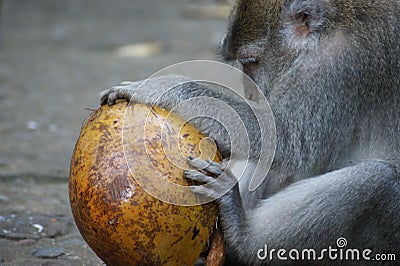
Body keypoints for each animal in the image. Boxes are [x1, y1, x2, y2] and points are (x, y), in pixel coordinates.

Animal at [97, 0, 400, 264]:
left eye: (250, 61)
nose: (250, 92)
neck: (330, 25)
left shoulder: (338, 67)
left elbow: (285, 139)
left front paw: (162, 87)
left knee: (379, 181)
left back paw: (242, 237)